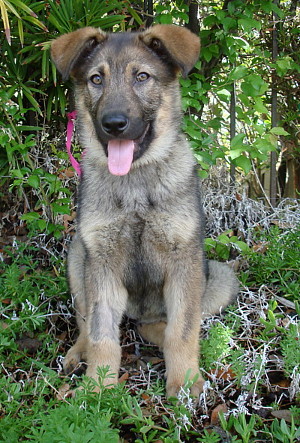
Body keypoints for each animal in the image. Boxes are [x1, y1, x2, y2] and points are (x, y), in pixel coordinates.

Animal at [51, 25, 239, 398]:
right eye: (96, 79)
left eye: (142, 77)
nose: (114, 124)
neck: (134, 183)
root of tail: (137, 315)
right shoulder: (101, 261)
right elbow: (101, 334)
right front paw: (98, 390)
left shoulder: (183, 259)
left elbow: (183, 330)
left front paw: (184, 383)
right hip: (78, 256)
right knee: (86, 321)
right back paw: (78, 353)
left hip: (219, 279)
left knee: (165, 325)